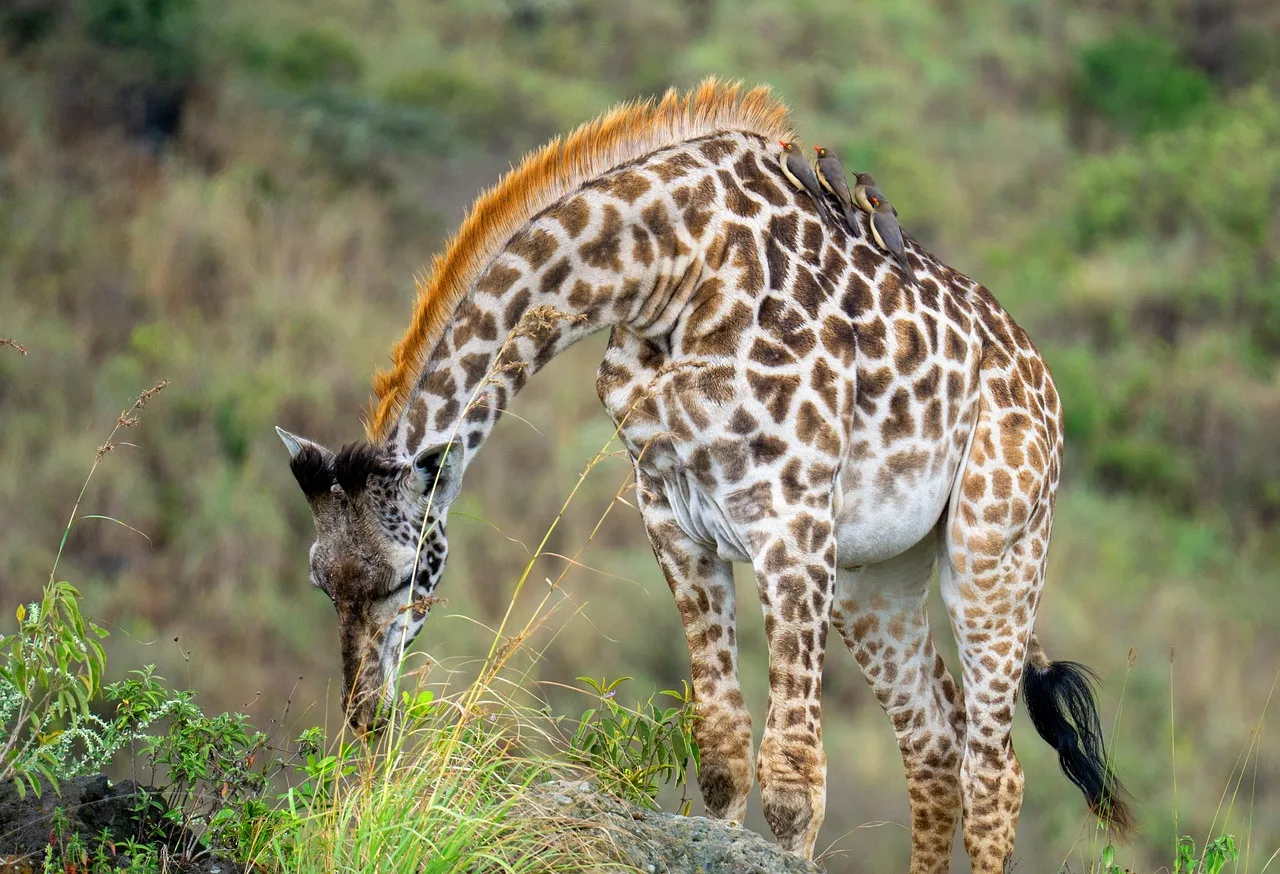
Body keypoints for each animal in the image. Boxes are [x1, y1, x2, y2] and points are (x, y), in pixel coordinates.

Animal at [276, 79, 1132, 872]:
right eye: (321, 583)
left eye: (405, 576)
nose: (366, 715)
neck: (669, 268)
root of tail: (1044, 383)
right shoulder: (673, 520)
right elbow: (720, 750)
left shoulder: (791, 523)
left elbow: (792, 781)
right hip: (874, 575)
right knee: (934, 739)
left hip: (995, 546)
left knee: (995, 771)